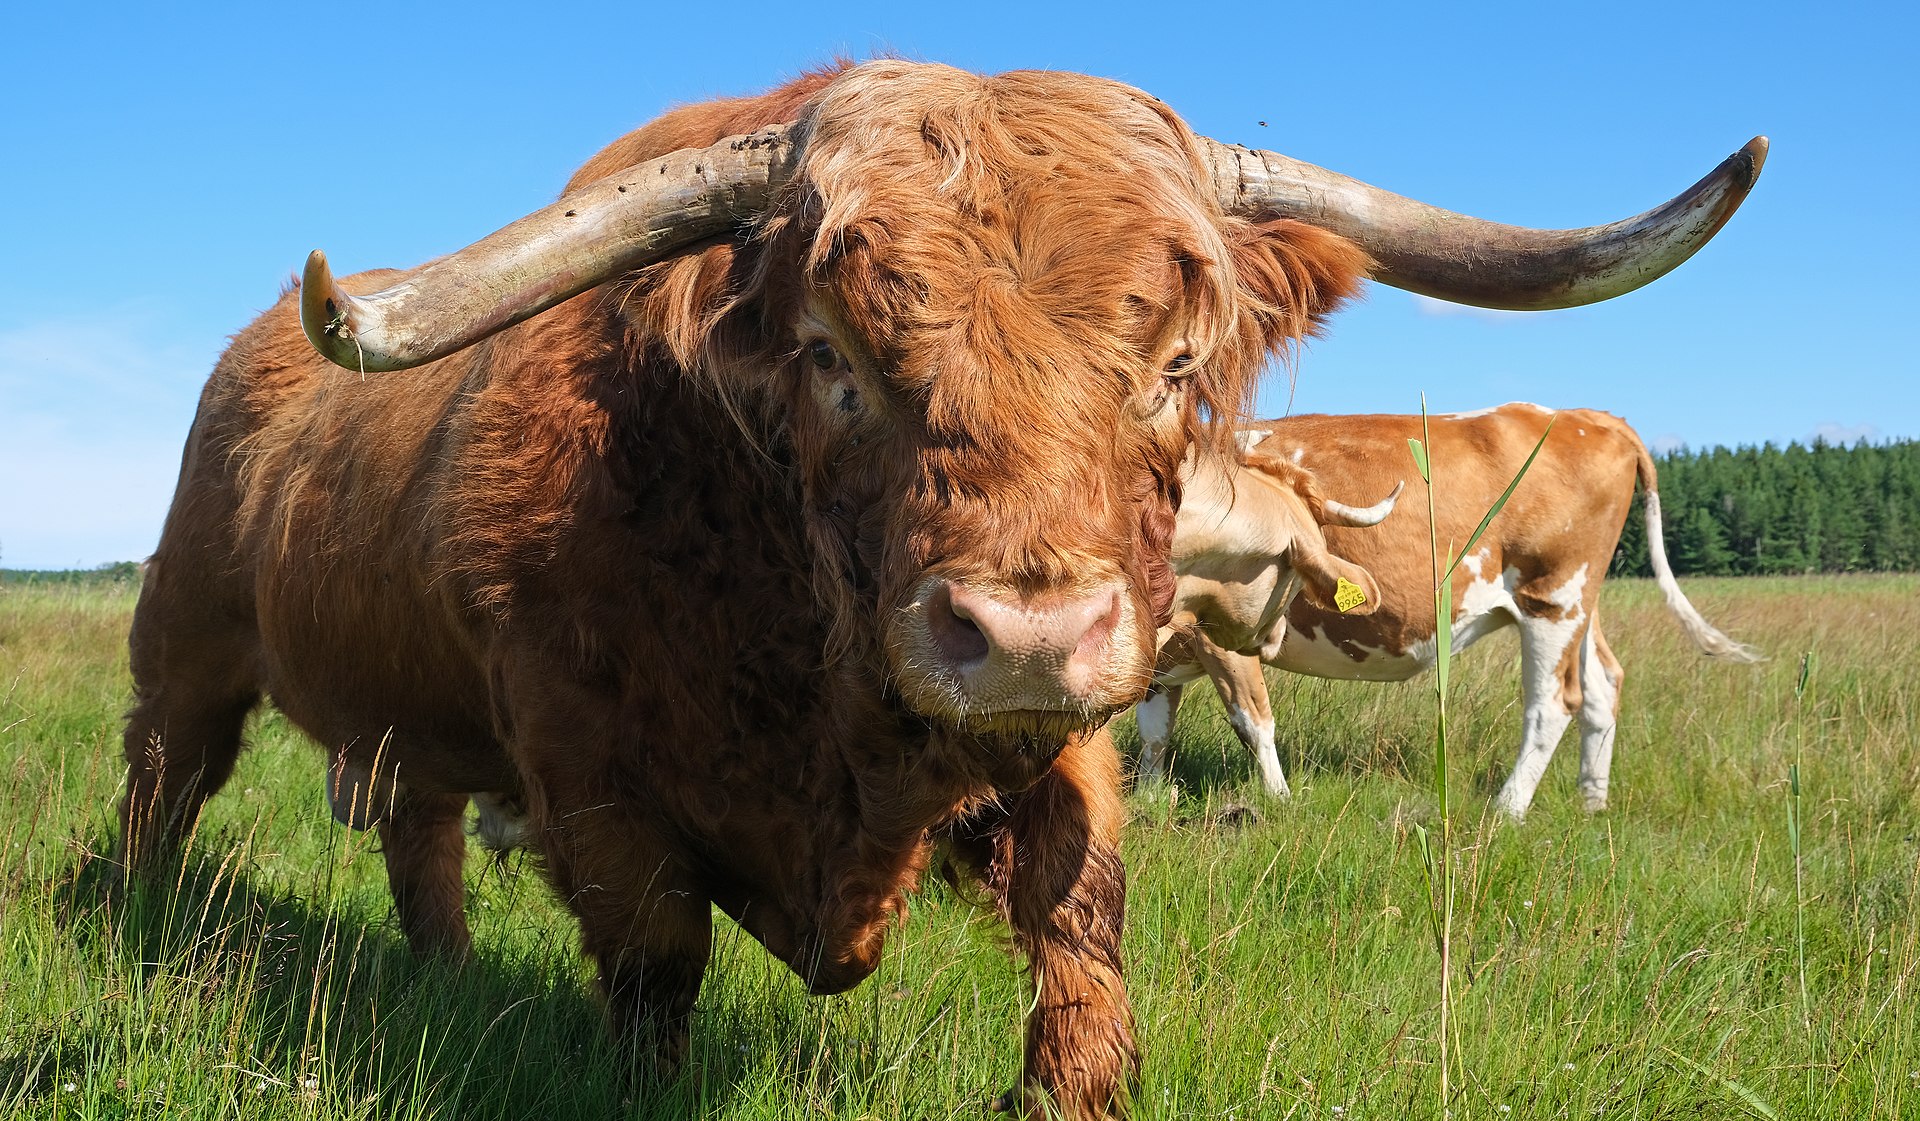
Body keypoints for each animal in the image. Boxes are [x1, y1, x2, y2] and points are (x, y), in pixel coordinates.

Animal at [1135, 403, 1762, 820]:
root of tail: (1587, 414)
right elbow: (1154, 730)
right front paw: (1146, 797)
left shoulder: (1214, 636)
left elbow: (1252, 721)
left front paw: (1279, 802)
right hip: (1582, 604)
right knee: (1604, 686)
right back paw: (1592, 803)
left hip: (1552, 598)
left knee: (1554, 703)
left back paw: (1508, 809)